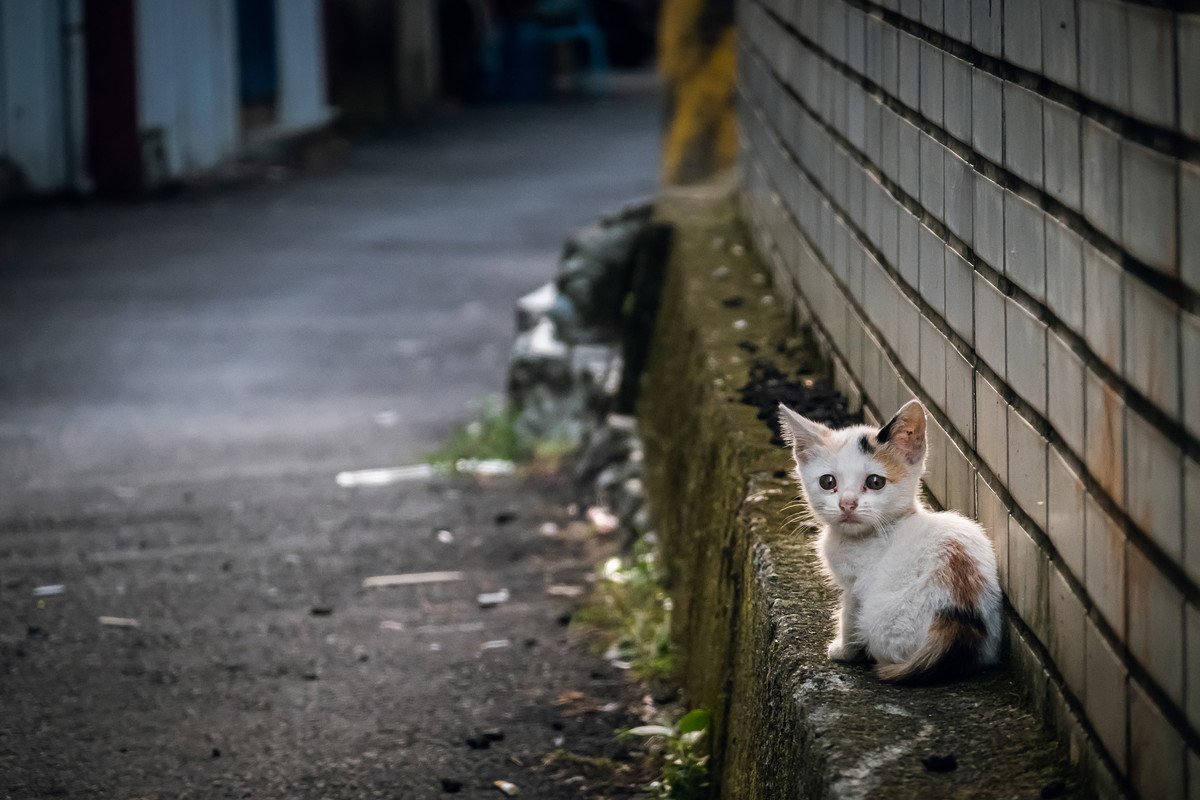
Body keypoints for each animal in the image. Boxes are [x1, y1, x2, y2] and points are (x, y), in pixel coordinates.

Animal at [777, 400, 1003, 681]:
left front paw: (843, 650)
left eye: (875, 482)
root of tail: (956, 625)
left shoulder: (856, 586)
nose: (847, 504)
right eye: (827, 482)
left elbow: (848, 615)